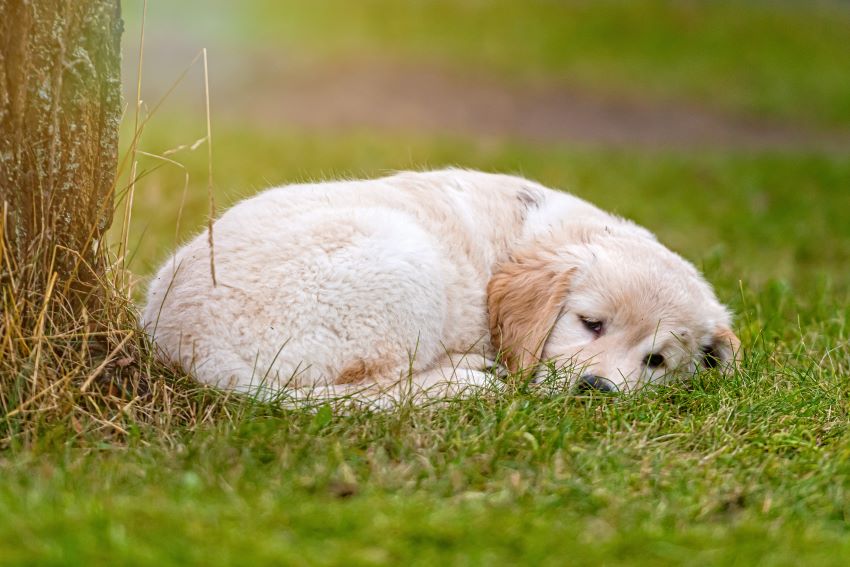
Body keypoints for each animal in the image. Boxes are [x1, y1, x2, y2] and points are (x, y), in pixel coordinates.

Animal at [142, 170, 740, 408]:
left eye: (656, 361)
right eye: (590, 324)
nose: (596, 391)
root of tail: (187, 344)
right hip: (406, 266)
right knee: (381, 389)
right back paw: (464, 377)